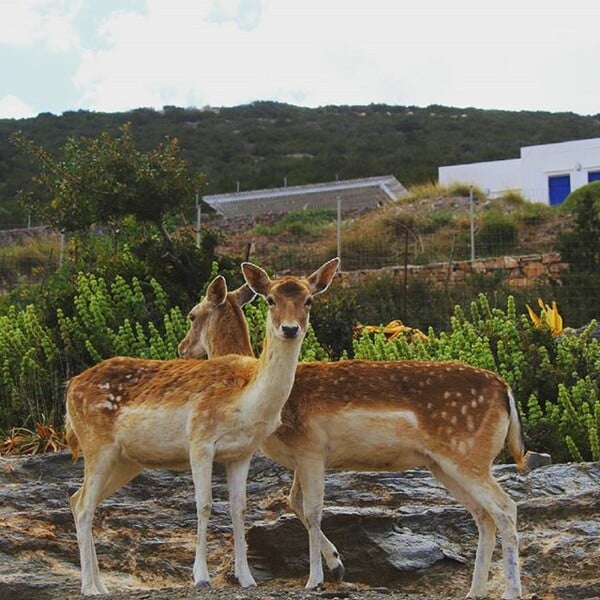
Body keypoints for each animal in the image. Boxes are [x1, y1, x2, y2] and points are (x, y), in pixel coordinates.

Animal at [64, 258, 342, 596]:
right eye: (270, 299)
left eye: (309, 300)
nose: (290, 328)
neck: (245, 400)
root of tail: (69, 387)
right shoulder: (199, 440)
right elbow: (204, 504)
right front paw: (200, 576)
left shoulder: (241, 453)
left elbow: (239, 508)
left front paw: (247, 578)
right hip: (96, 445)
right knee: (83, 506)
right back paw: (89, 588)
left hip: (124, 461)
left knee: (78, 499)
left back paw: (102, 586)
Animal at [179, 276, 528, 600]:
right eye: (270, 300)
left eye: (192, 315)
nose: (183, 348)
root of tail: (507, 391)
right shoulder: (303, 457)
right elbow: (294, 501)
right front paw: (336, 565)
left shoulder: (310, 449)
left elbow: (308, 507)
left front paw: (321, 576)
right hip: (443, 464)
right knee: (484, 515)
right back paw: (475, 590)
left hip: (467, 454)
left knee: (506, 508)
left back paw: (511, 591)